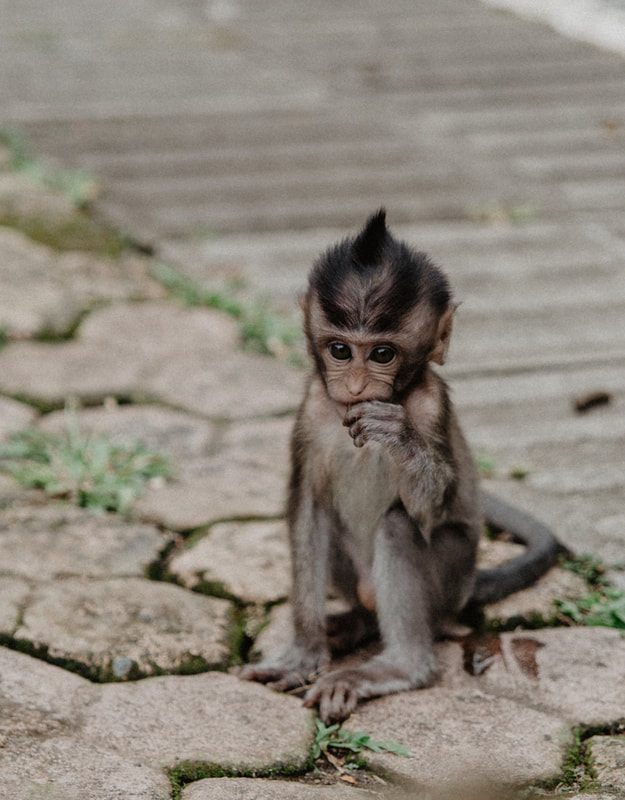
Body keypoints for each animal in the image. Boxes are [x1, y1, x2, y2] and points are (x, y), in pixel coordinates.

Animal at [239, 209, 564, 723]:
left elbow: (427, 510)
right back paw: (353, 625)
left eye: (382, 354)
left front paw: (399, 438)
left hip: (450, 578)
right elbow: (309, 508)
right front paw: (304, 652)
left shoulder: (431, 406)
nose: (355, 384)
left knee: (398, 524)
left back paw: (398, 666)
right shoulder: (312, 407)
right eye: (340, 350)